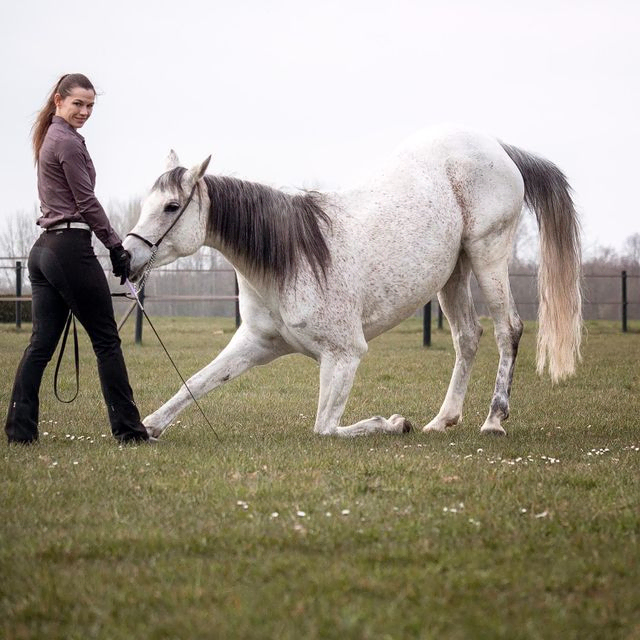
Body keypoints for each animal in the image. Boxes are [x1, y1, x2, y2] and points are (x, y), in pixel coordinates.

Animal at [122, 129, 584, 440]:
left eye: (171, 206)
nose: (125, 256)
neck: (290, 260)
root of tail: (498, 147)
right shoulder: (255, 344)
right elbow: (197, 382)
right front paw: (146, 426)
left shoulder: (345, 355)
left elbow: (326, 427)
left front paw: (393, 423)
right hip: (454, 272)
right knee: (468, 336)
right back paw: (442, 420)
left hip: (488, 254)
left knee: (509, 330)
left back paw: (493, 420)